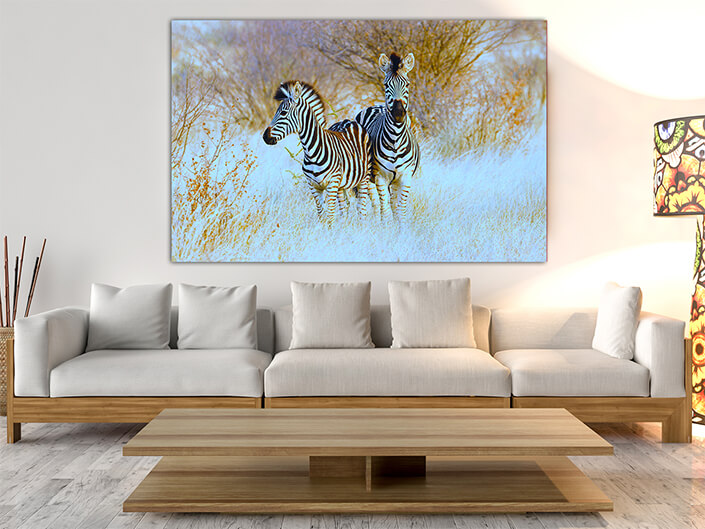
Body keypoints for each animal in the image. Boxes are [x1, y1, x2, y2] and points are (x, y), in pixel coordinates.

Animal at [262, 80, 372, 222]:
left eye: (283, 113)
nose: (265, 136)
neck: (312, 151)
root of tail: (348, 121)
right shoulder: (313, 186)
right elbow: (321, 214)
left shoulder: (332, 183)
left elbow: (330, 215)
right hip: (341, 186)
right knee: (344, 208)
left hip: (363, 178)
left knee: (361, 208)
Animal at [355, 52, 420, 222]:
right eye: (386, 85)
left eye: (407, 84)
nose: (398, 114)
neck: (395, 139)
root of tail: (376, 106)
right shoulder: (380, 178)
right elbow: (385, 212)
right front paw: (385, 227)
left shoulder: (405, 177)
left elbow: (400, 211)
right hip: (369, 178)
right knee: (376, 205)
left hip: (395, 181)